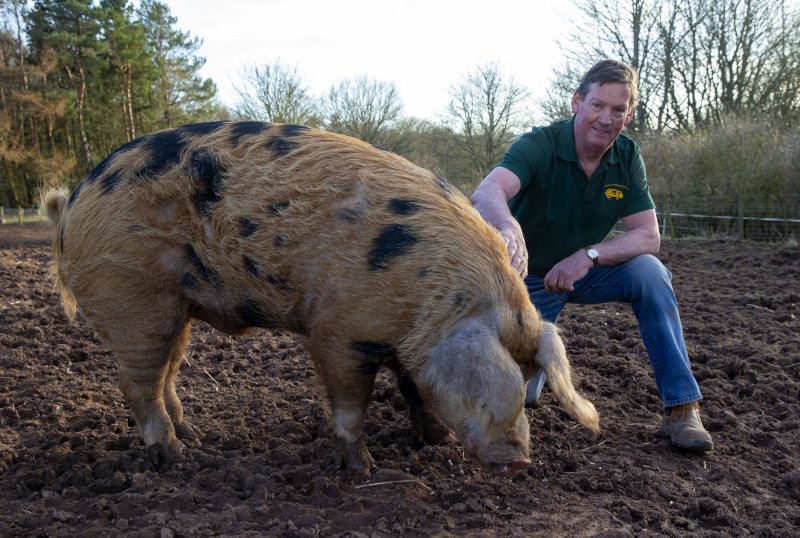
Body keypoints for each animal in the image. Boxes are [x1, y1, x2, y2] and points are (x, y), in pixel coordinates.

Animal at [40, 121, 596, 474]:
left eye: (530, 378)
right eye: (501, 382)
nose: (518, 463)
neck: (433, 297)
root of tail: (73, 202)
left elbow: (415, 388)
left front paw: (432, 440)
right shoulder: (341, 333)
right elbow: (352, 401)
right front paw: (361, 469)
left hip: (178, 310)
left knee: (167, 375)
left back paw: (194, 434)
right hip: (133, 299)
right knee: (138, 384)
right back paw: (175, 457)